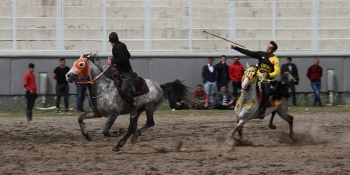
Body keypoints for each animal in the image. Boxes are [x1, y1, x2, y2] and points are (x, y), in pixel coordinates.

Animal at [65, 53, 197, 152]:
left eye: (81, 64)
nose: (68, 75)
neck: (103, 88)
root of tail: (159, 86)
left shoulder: (113, 115)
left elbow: (105, 131)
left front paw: (117, 132)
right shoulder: (96, 113)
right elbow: (80, 118)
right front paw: (87, 135)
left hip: (149, 107)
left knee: (149, 123)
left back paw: (133, 137)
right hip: (137, 111)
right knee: (132, 127)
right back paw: (120, 144)